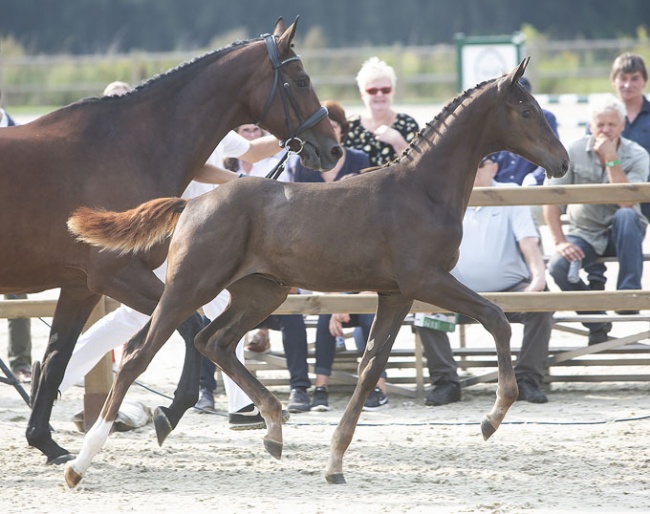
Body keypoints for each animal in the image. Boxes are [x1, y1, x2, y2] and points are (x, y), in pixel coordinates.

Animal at [0, 17, 342, 464]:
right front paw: (172, 410)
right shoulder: (117, 274)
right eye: (301, 81)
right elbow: (190, 327)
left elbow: (58, 355)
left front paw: (46, 442)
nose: (332, 149)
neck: (126, 145)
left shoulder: (81, 286)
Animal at [62, 58, 568, 486]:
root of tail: (192, 203)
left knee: (213, 341)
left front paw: (335, 463)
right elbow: (497, 317)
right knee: (137, 355)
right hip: (189, 287)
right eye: (526, 111)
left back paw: (272, 428)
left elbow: (369, 366)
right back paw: (79, 464)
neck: (420, 190)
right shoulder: (427, 280)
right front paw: (492, 418)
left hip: (261, 294)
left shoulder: (396, 294)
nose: (561, 162)